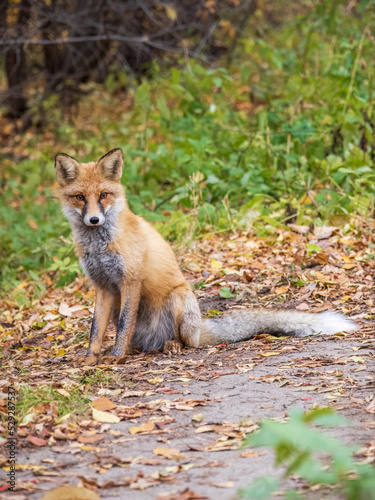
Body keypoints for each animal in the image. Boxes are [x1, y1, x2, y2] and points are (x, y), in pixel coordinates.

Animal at [54, 147, 356, 360]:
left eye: (104, 195)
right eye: (80, 197)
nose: (94, 220)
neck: (99, 245)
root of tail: (200, 330)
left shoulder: (130, 280)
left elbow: (123, 327)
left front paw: (115, 358)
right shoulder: (103, 286)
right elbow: (96, 330)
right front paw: (90, 359)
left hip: (179, 299)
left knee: (186, 343)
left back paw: (171, 346)